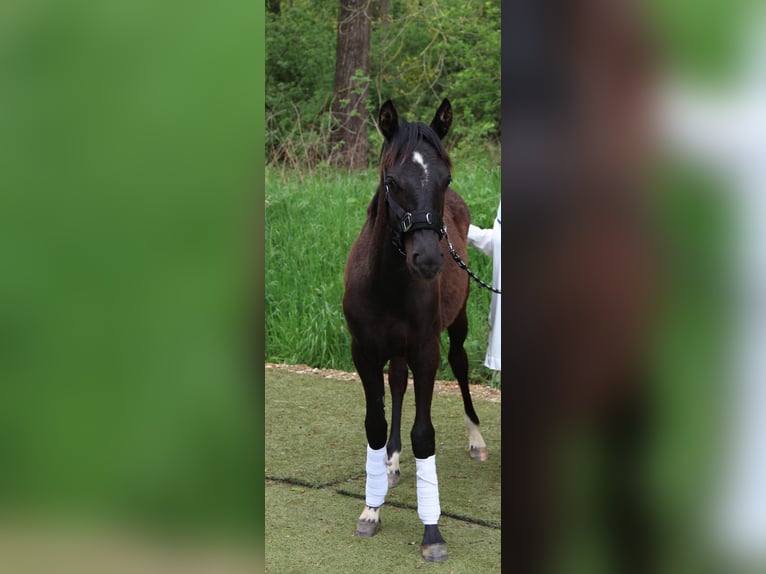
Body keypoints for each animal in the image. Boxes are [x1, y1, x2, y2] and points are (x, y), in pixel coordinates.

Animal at [342, 98, 487, 562]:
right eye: (392, 180)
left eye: (446, 177)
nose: (427, 260)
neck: (386, 282)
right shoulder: (364, 352)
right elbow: (374, 422)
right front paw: (371, 510)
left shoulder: (426, 349)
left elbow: (425, 436)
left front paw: (432, 531)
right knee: (398, 383)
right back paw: (391, 462)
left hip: (456, 324)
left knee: (460, 364)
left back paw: (476, 439)